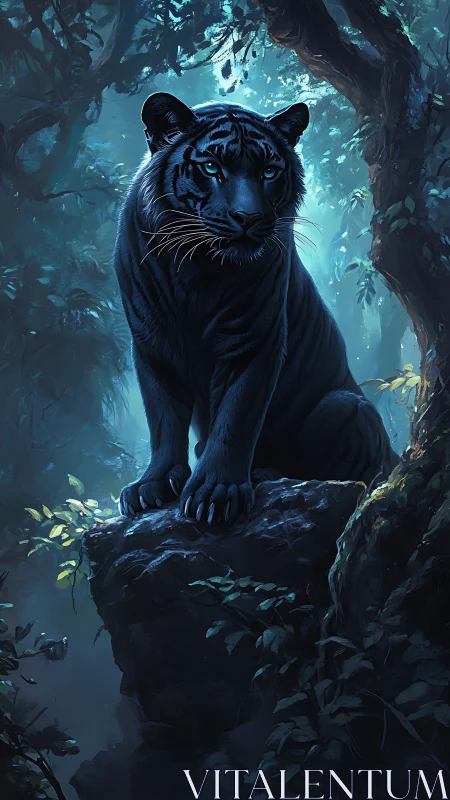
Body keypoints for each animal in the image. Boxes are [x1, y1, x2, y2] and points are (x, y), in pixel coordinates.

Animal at [115, 92, 397, 523]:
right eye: (211, 167)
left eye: (268, 171)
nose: (248, 217)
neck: (198, 269)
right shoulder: (152, 341)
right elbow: (163, 418)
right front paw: (153, 485)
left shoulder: (251, 338)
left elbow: (236, 417)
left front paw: (215, 492)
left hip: (347, 406)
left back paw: (265, 473)